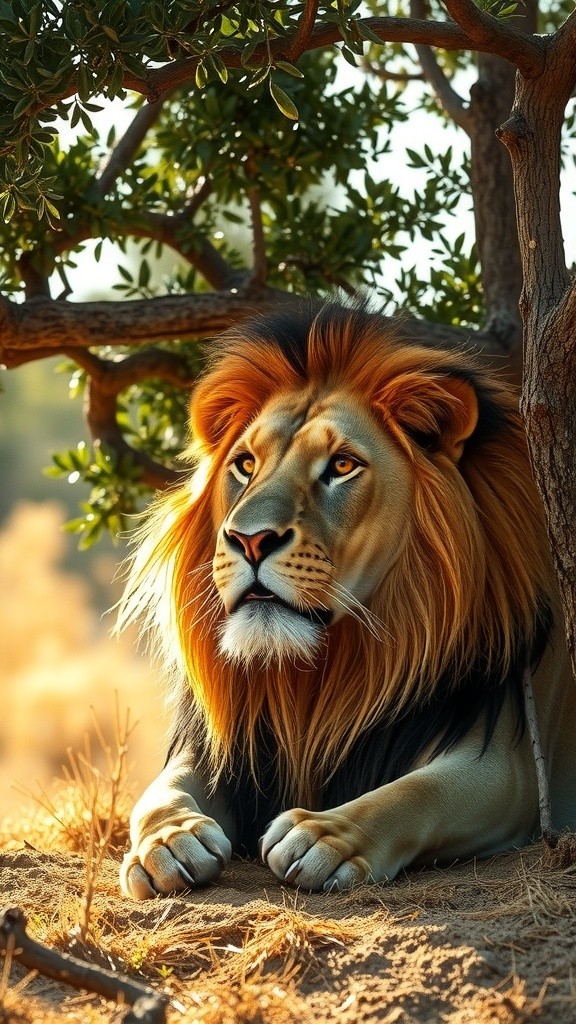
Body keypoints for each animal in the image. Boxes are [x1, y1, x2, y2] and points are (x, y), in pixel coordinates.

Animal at [119, 300, 576, 899]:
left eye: (341, 465)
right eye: (245, 464)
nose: (248, 540)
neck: (324, 673)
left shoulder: (507, 766)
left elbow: (412, 794)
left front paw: (322, 836)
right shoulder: (224, 748)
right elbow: (158, 793)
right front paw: (171, 839)